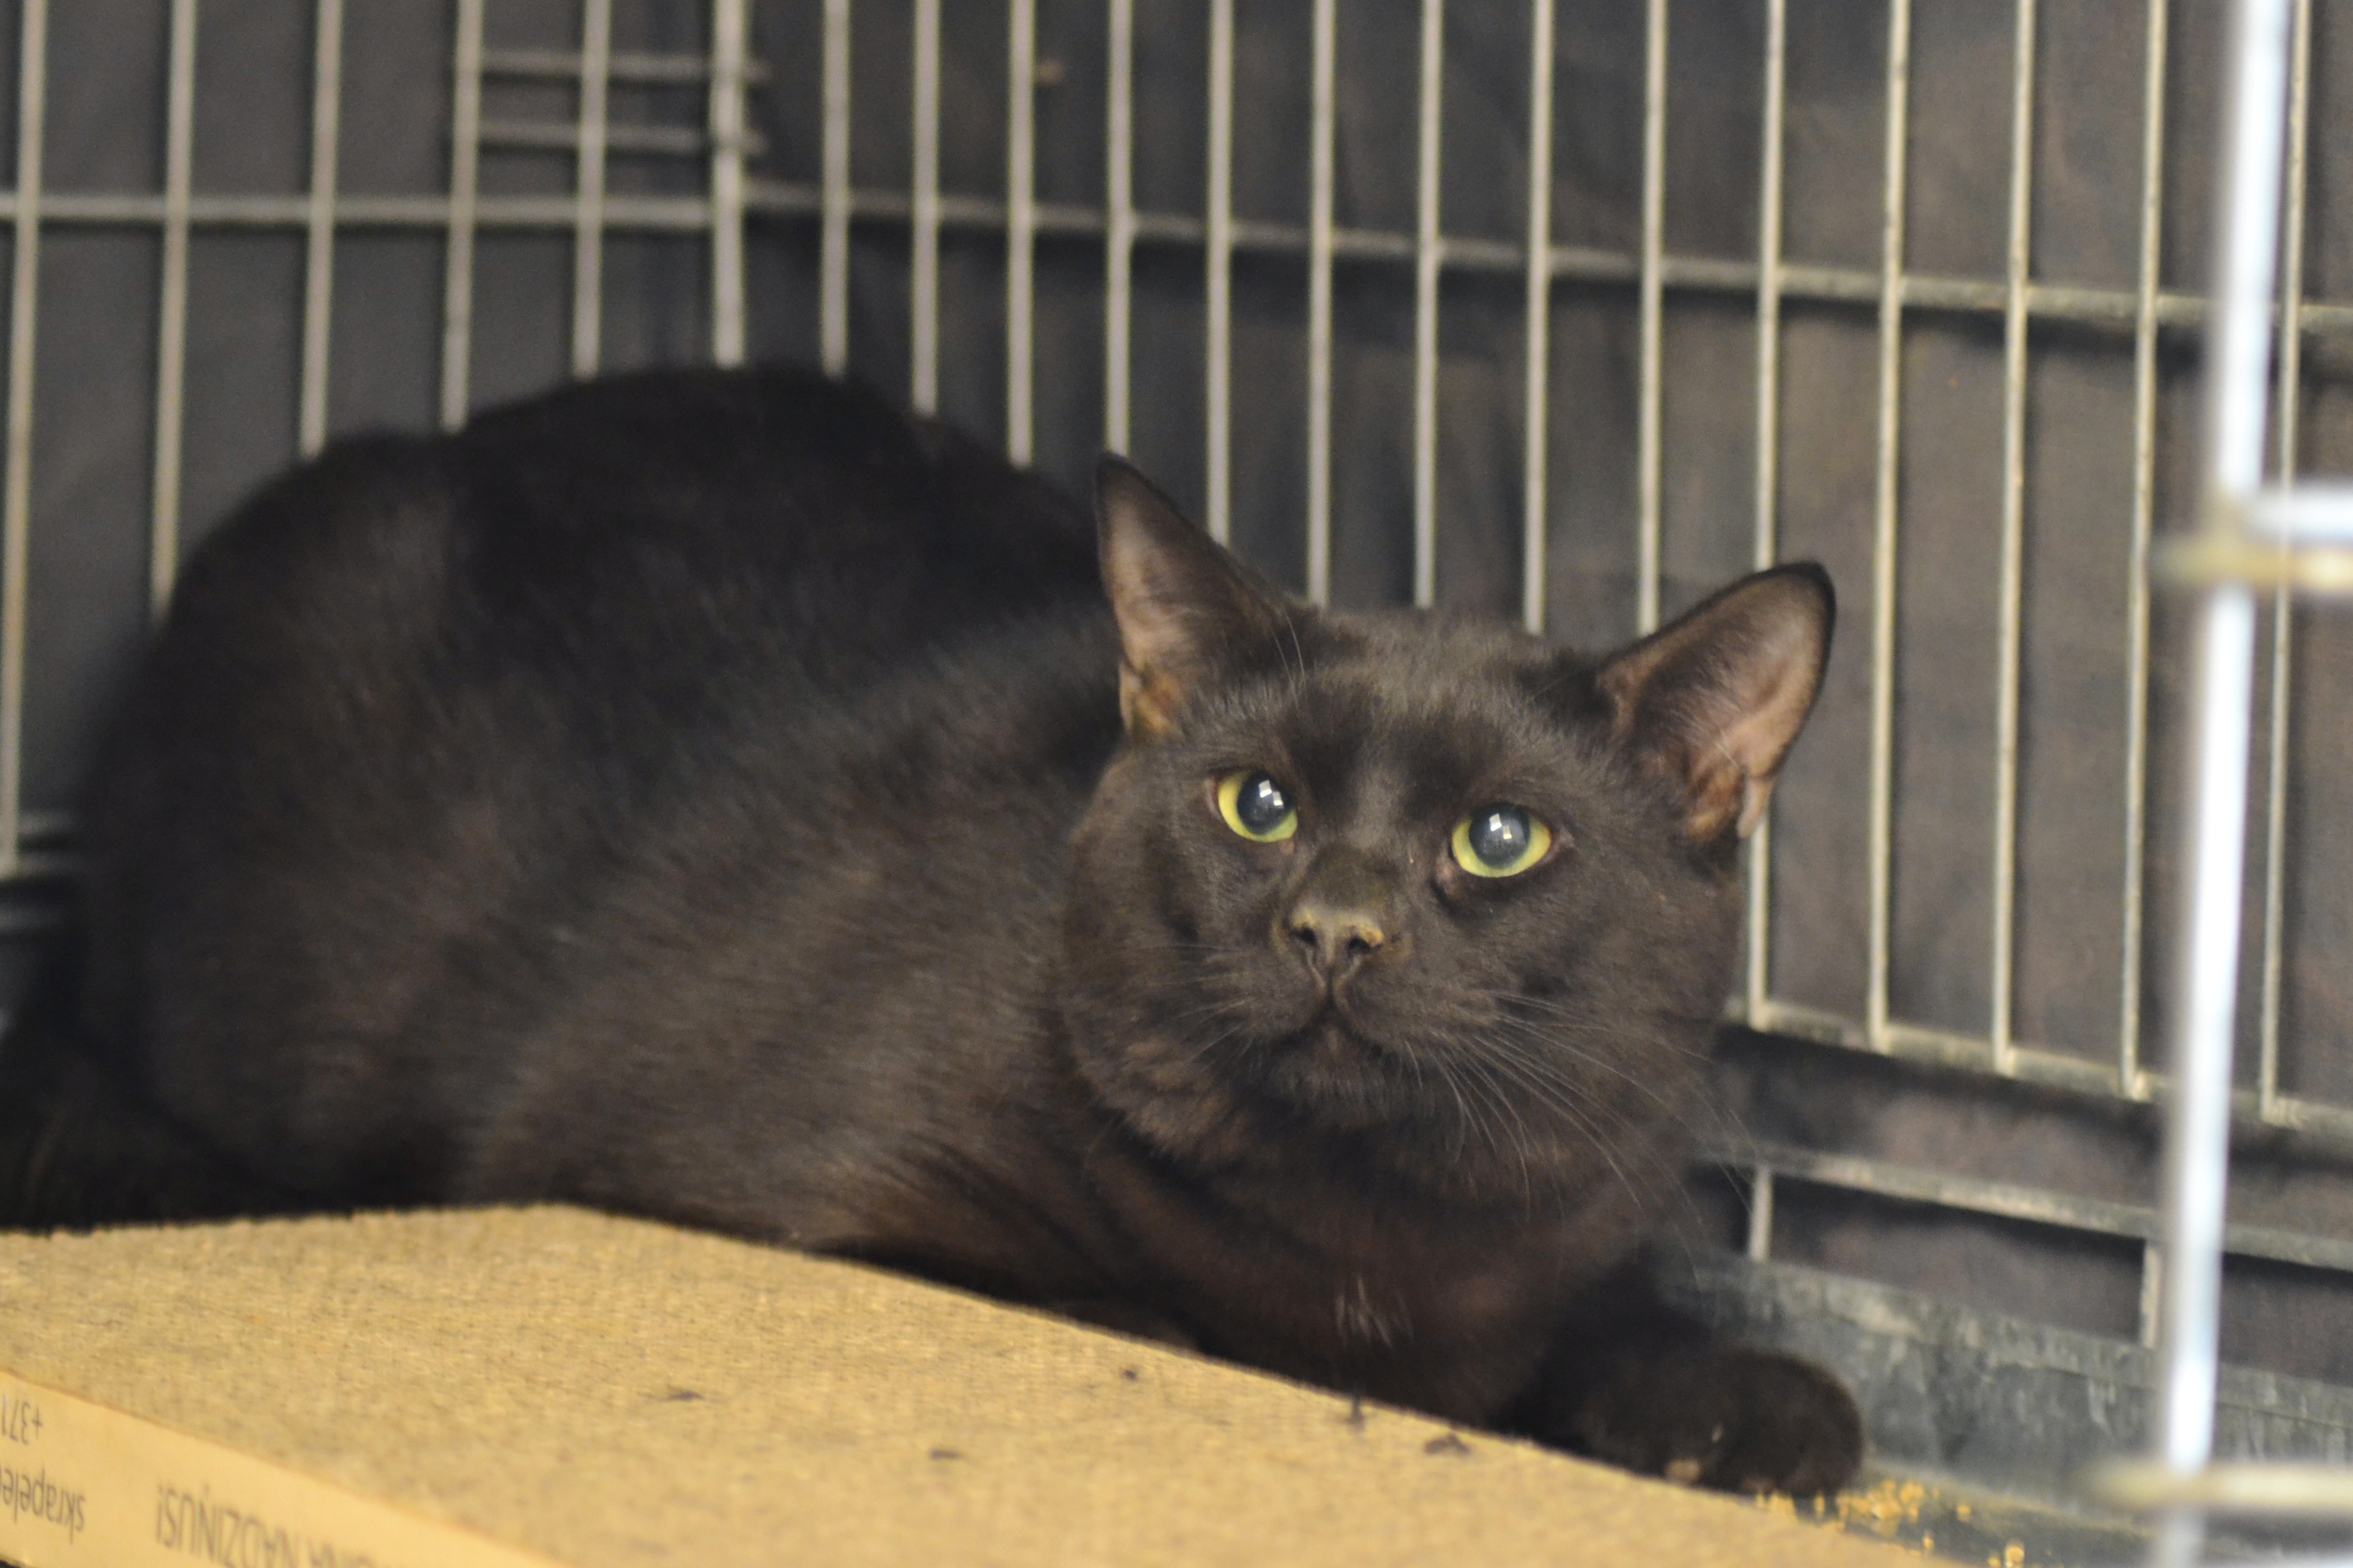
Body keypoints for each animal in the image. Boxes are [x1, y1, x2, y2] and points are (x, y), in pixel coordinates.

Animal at [4, 363, 1859, 1496]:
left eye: (1498, 840)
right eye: (1255, 803)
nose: (1333, 925)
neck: (1366, 1248)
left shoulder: (1566, 1224)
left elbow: (1632, 1318)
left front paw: (1744, 1404)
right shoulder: (794, 1207)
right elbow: (1132, 1318)